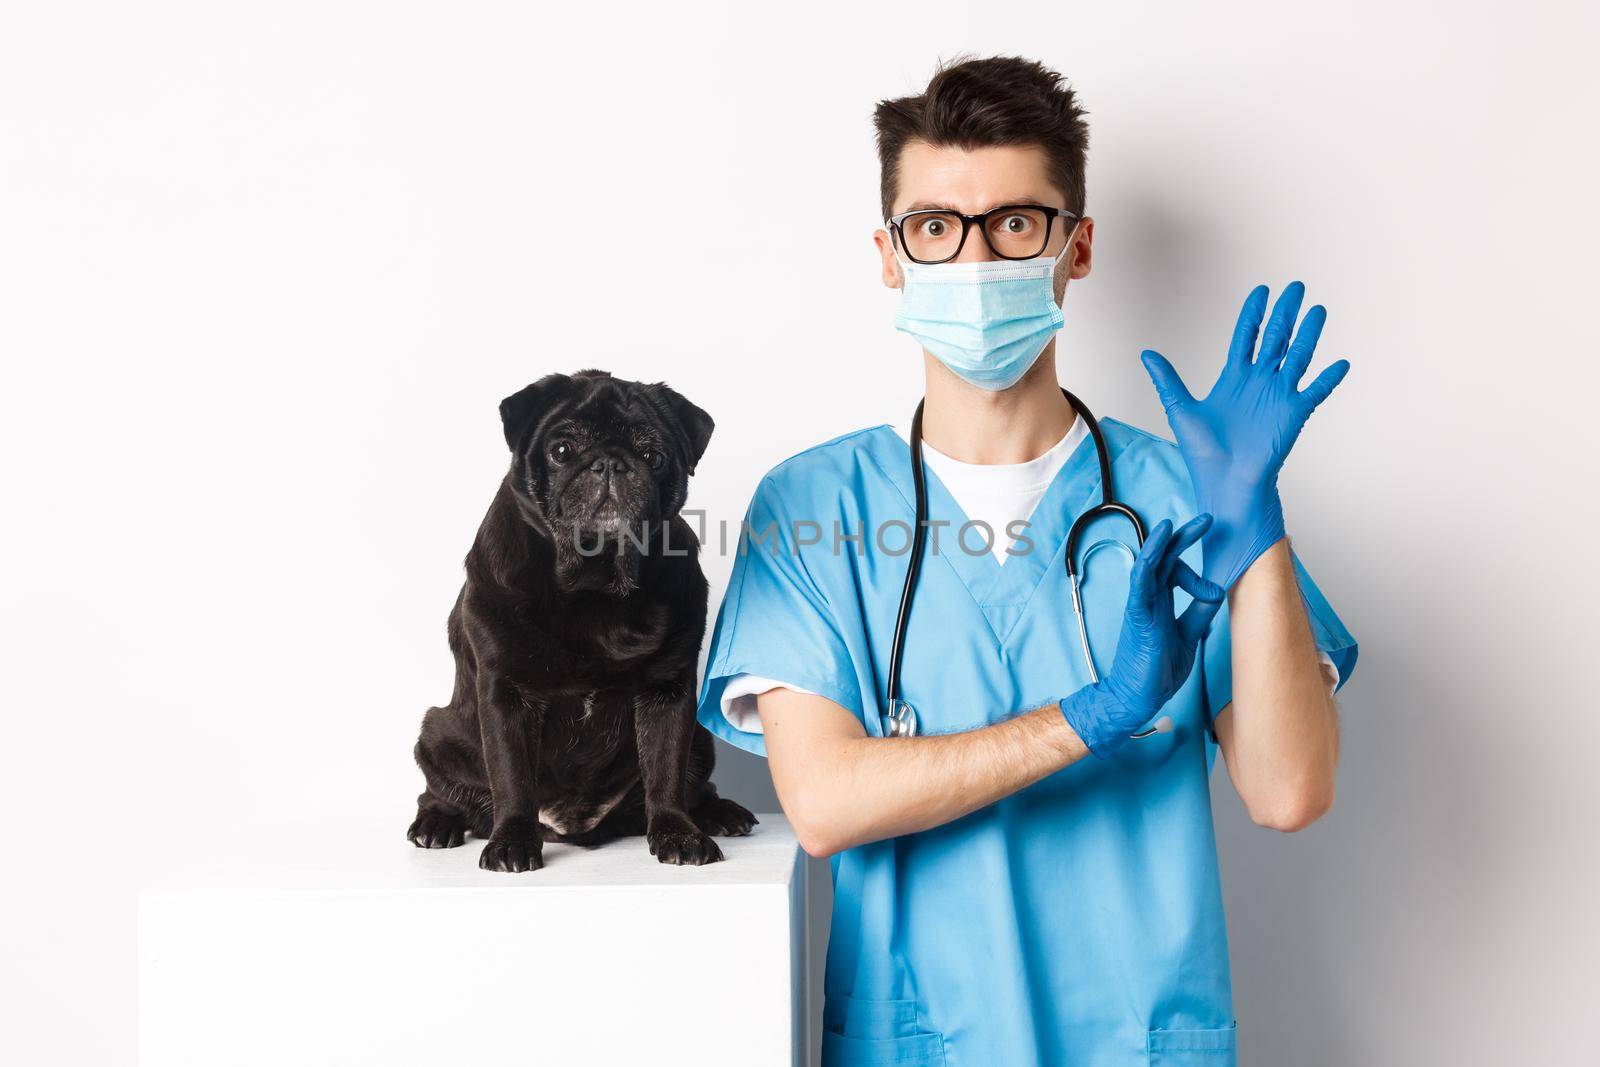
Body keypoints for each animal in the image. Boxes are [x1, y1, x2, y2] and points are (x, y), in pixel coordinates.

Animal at [412, 371, 761, 870]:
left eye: (653, 457)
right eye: (562, 451)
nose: (610, 463)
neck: (595, 585)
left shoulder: (667, 694)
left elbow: (666, 771)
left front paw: (677, 833)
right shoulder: (506, 695)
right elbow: (511, 777)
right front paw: (511, 841)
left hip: (700, 737)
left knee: (693, 783)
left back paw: (718, 813)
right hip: (437, 734)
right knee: (439, 790)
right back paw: (436, 824)